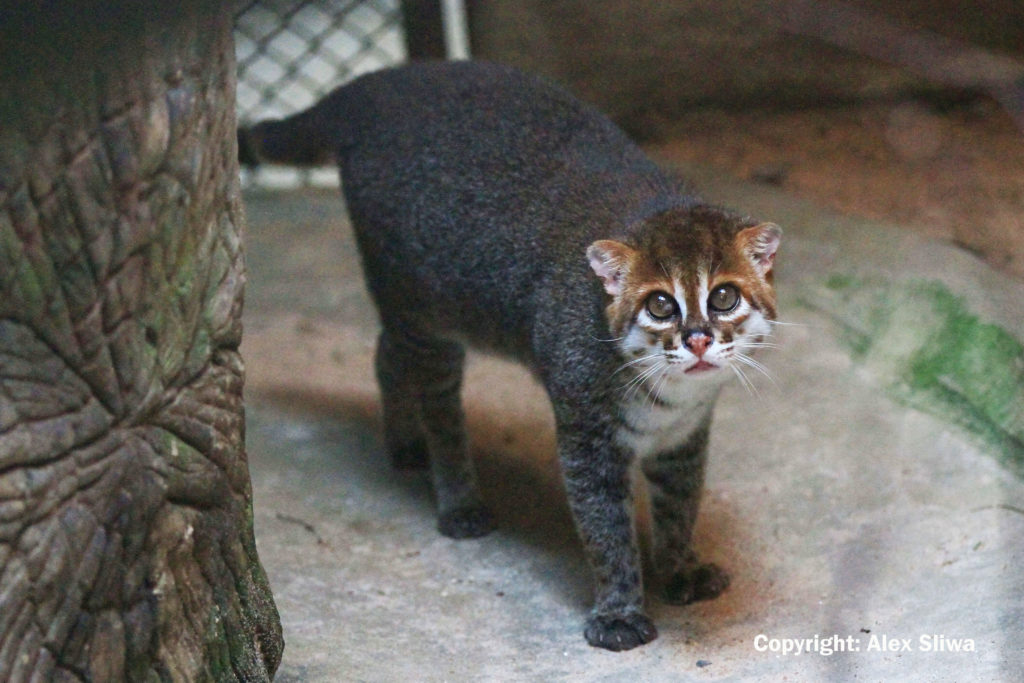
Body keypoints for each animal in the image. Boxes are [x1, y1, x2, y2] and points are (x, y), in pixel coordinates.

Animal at [241, 61, 782, 655]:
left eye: (724, 296)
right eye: (661, 304)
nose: (699, 339)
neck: (669, 395)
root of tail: (376, 82)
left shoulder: (684, 435)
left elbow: (680, 506)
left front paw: (679, 566)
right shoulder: (585, 435)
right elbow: (606, 530)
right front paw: (619, 609)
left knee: (385, 352)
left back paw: (405, 443)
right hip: (426, 312)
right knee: (437, 404)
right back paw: (456, 496)